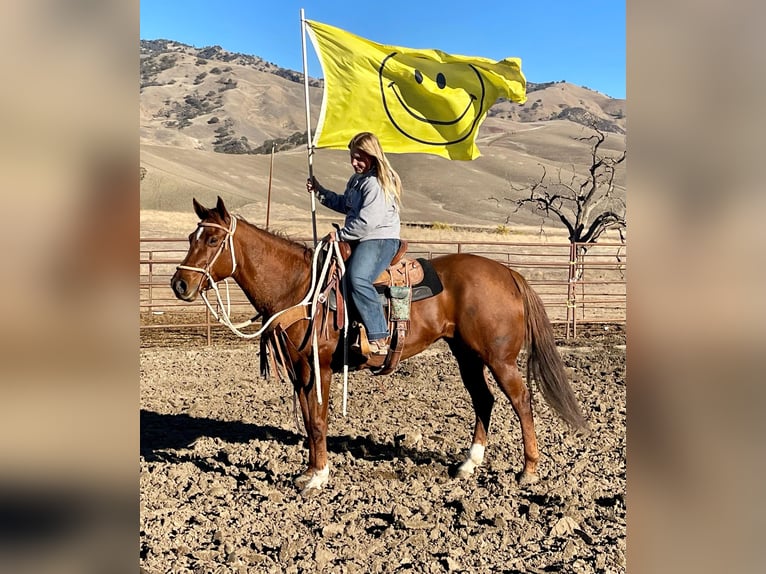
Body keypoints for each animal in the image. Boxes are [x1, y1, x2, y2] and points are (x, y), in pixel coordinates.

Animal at [170, 199, 588, 496]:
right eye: (190, 238)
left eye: (212, 240)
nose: (179, 284)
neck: (300, 286)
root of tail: (509, 273)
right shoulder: (300, 370)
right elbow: (307, 418)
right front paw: (310, 471)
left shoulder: (319, 368)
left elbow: (318, 420)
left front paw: (318, 477)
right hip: (466, 355)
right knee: (483, 400)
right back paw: (468, 465)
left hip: (499, 359)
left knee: (521, 399)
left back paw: (528, 470)